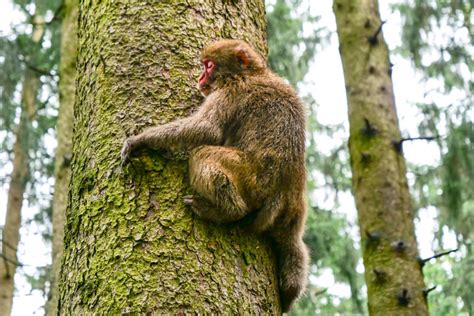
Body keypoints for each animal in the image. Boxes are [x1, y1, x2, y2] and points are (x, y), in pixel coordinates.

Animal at [120, 38, 310, 312]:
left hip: (251, 179)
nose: (200, 77)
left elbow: (207, 130)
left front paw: (141, 140)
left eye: (208, 66)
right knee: (295, 246)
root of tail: (283, 195)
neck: (252, 74)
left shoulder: (229, 92)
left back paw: (226, 211)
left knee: (202, 155)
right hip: (295, 213)